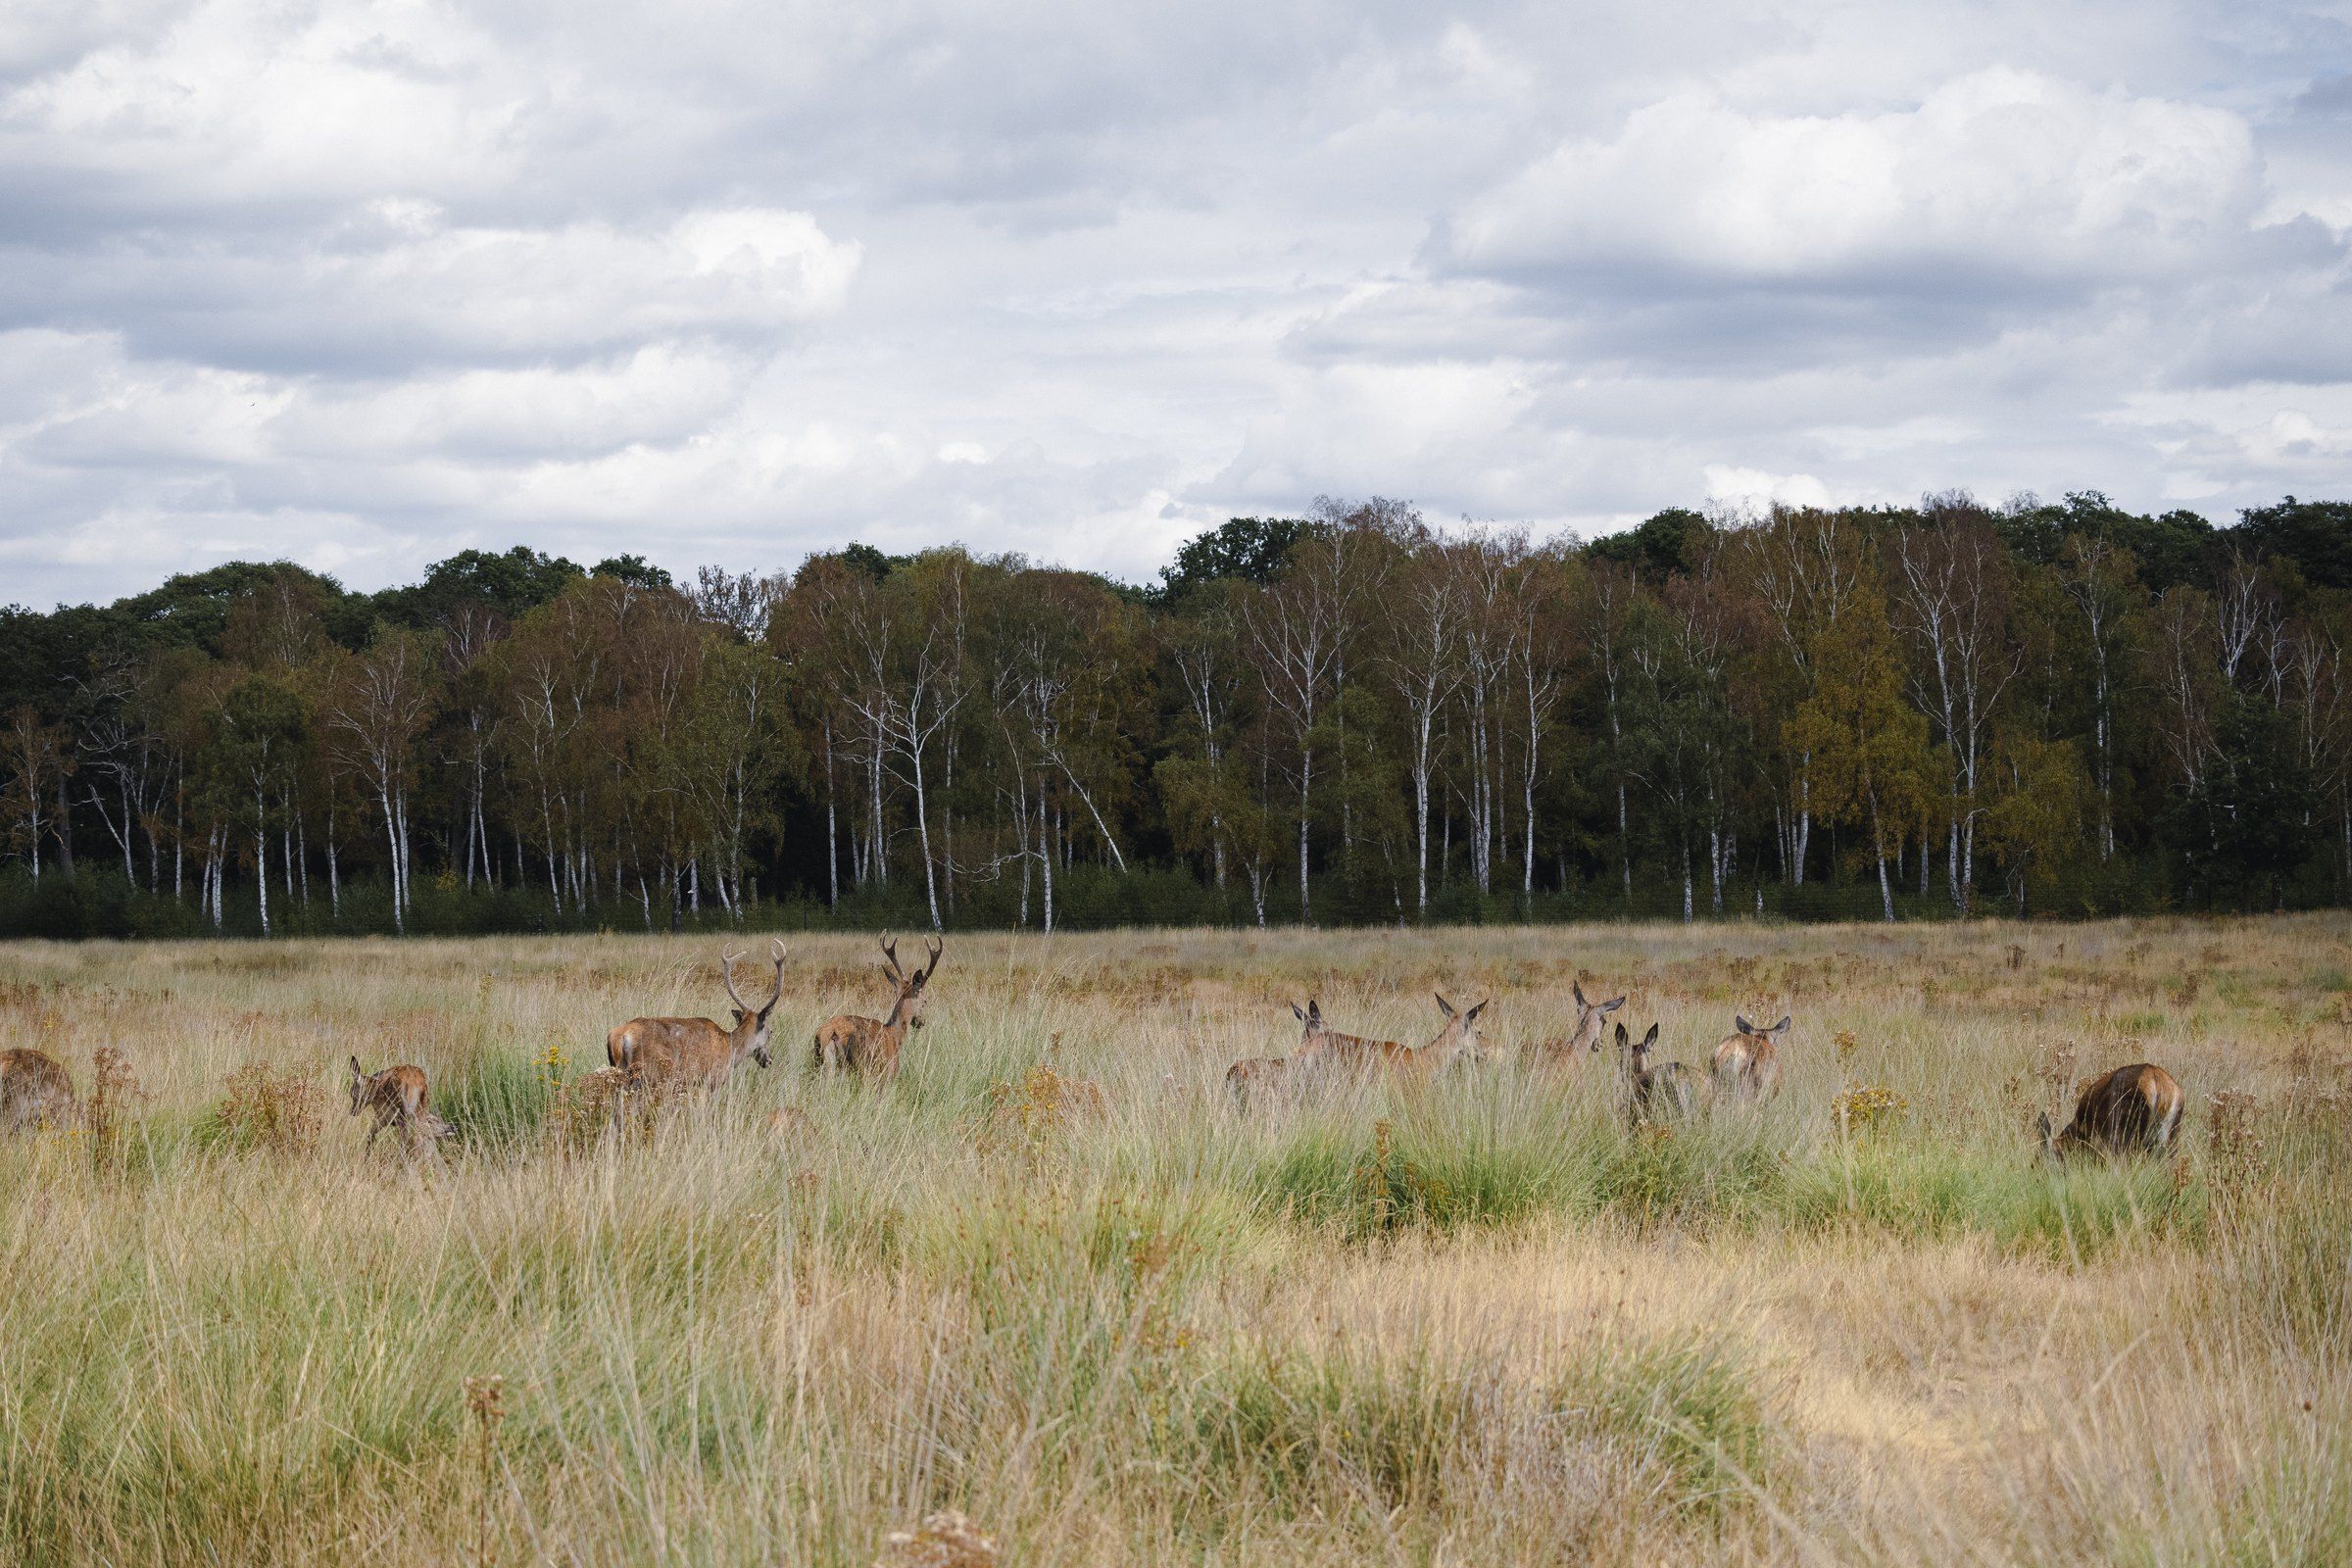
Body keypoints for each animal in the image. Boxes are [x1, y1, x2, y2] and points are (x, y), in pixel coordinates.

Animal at [607, 938, 786, 1093]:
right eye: (770, 1032)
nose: (769, 1060)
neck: (731, 1050)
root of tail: (619, 1036)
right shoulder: (712, 1079)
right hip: (650, 1075)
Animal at [813, 932, 942, 1082]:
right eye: (925, 1001)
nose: (921, 1021)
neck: (895, 1035)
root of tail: (829, 1032)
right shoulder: (888, 1072)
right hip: (861, 1064)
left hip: (821, 1062)